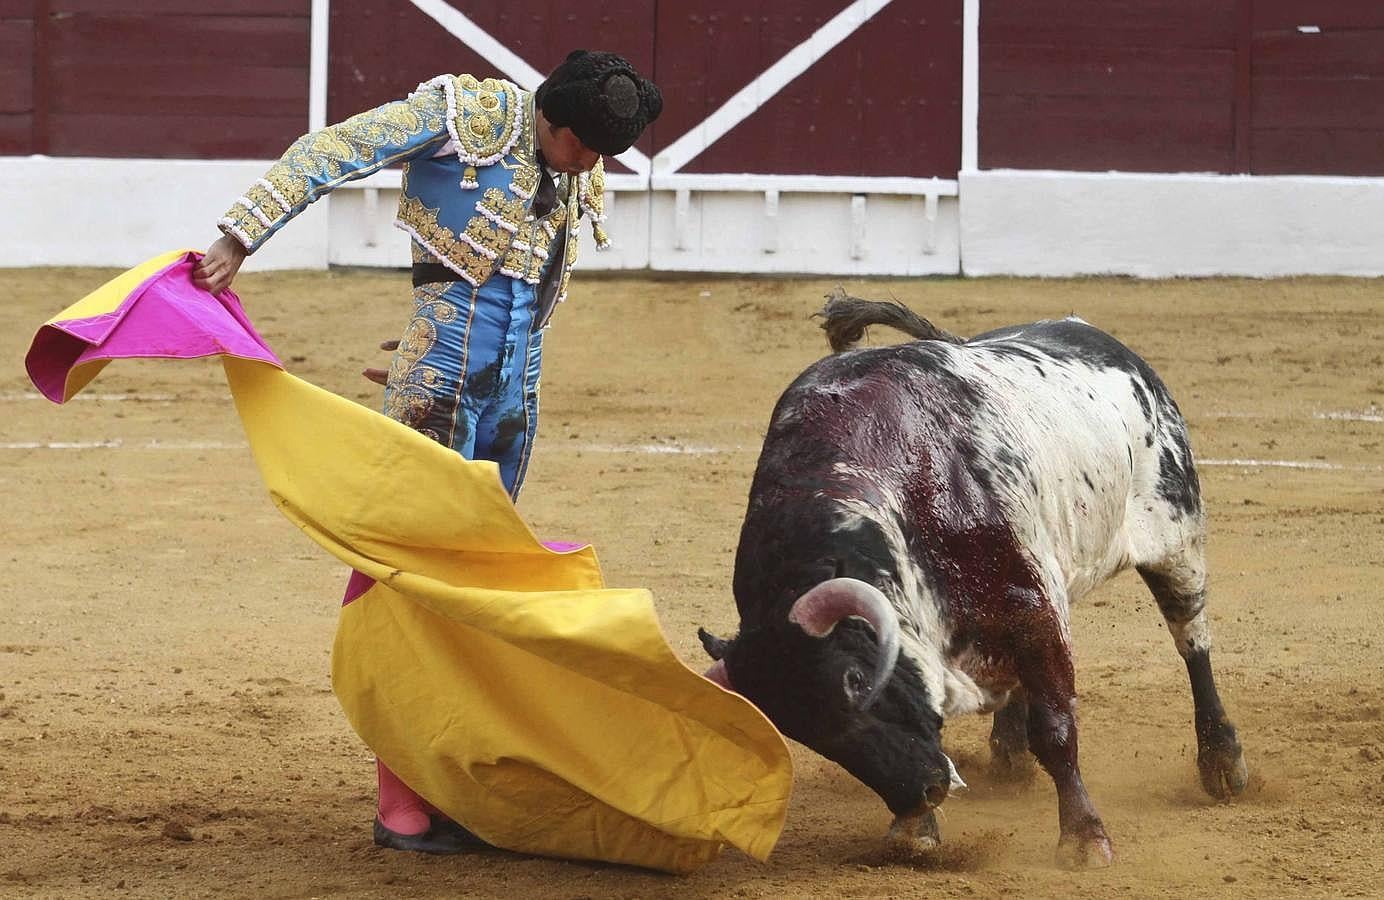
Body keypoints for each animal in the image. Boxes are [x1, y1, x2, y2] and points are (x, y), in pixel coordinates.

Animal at [697, 290, 1251, 864]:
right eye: (804, 732)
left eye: (857, 682)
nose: (923, 791)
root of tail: (1110, 344)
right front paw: (914, 830)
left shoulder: (1030, 599)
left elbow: (1056, 729)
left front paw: (1083, 839)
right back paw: (1009, 755)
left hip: (1176, 535)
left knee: (1192, 641)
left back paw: (1221, 761)